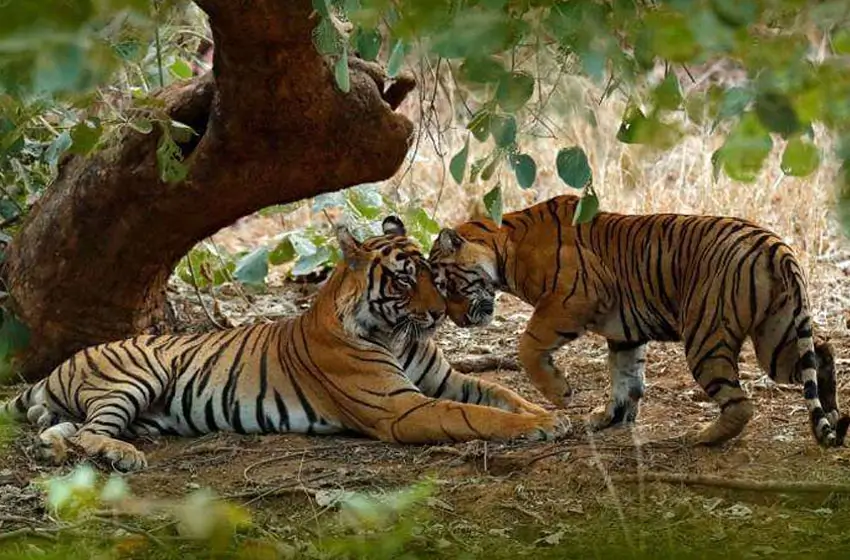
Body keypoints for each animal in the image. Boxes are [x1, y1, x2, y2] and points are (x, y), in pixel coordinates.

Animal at [2, 217, 567, 472]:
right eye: (406, 280)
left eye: (433, 273)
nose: (437, 314)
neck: (396, 333)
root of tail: (59, 367)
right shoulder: (402, 408)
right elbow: (478, 415)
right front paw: (539, 426)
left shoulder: (448, 379)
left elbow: (502, 394)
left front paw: (551, 412)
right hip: (135, 375)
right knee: (89, 433)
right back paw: (124, 456)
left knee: (64, 430)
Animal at [428, 194, 849, 448]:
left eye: (446, 284)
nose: (457, 321)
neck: (504, 246)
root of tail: (774, 245)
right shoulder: (624, 332)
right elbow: (625, 378)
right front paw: (609, 418)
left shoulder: (570, 300)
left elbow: (528, 345)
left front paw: (561, 394)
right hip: (776, 337)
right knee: (822, 352)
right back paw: (831, 414)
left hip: (706, 336)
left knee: (741, 404)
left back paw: (703, 436)